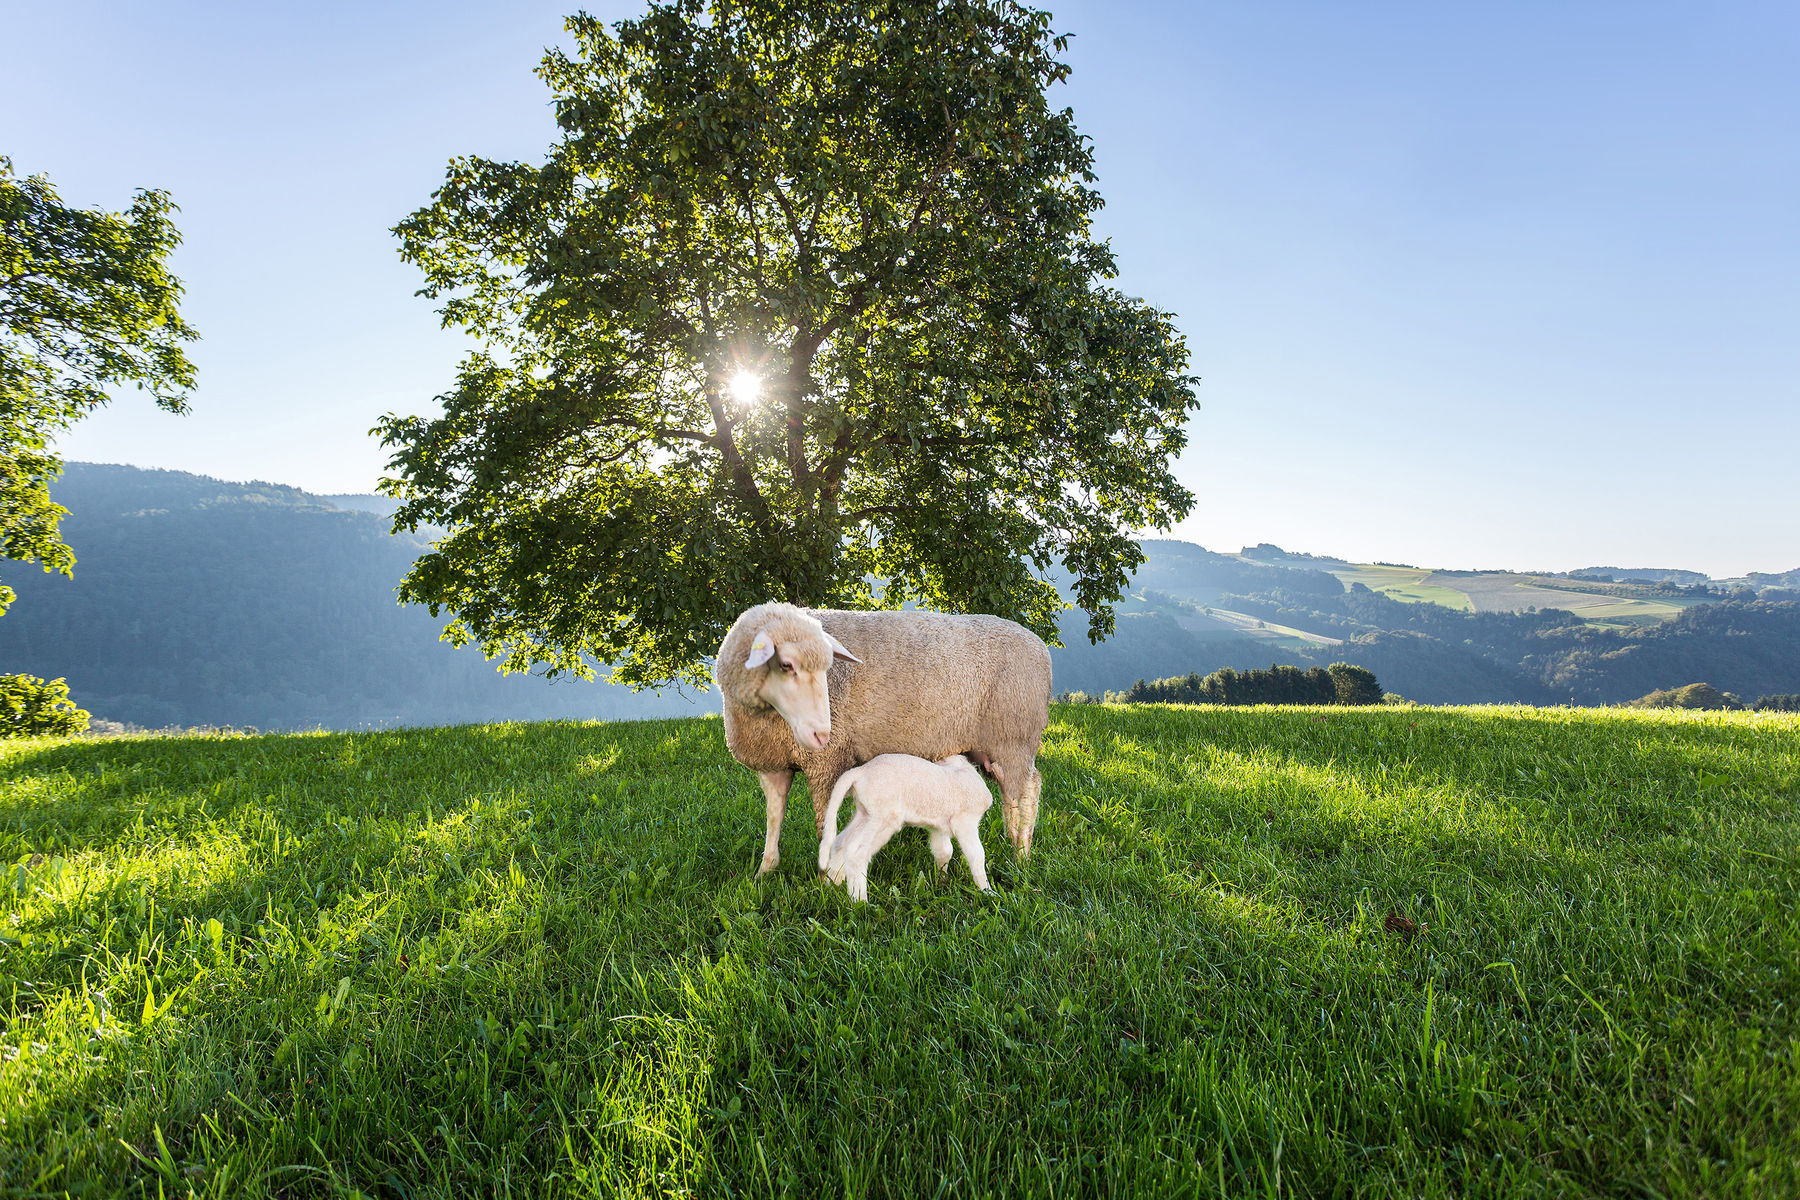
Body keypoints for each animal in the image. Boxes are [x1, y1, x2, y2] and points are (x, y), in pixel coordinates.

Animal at [712, 604, 1051, 877]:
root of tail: (1040, 645)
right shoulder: (774, 764)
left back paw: (1021, 854)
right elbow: (774, 818)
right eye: (786, 665)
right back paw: (1011, 840)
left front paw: (824, 878)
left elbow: (825, 823)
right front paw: (765, 871)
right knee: (1010, 793)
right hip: (991, 748)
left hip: (1015, 736)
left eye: (827, 668)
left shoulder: (827, 761)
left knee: (1028, 790)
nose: (822, 733)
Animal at [820, 752, 993, 899]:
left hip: (865, 814)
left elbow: (944, 852)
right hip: (883, 819)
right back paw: (859, 901)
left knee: (840, 842)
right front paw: (986, 890)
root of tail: (859, 772)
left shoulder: (938, 826)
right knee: (856, 852)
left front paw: (941, 881)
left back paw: (832, 886)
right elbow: (977, 855)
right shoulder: (965, 822)